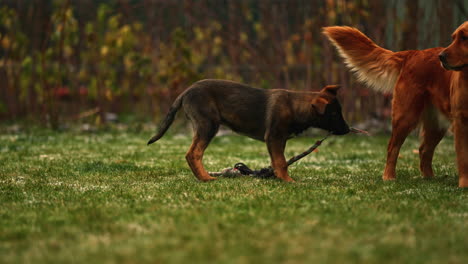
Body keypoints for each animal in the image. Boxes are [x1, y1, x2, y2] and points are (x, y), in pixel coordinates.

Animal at [148, 78, 350, 182]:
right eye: (334, 114)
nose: (348, 130)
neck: (295, 106)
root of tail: (186, 91)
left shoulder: (279, 140)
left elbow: (277, 162)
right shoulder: (274, 137)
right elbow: (281, 162)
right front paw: (288, 181)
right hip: (208, 125)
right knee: (193, 154)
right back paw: (206, 178)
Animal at [324, 22, 468, 188]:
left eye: (464, 38)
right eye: (454, 38)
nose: (441, 57)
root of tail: (413, 53)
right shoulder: (461, 123)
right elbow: (463, 158)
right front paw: (464, 185)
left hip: (436, 124)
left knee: (424, 149)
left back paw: (429, 179)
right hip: (405, 117)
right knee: (393, 147)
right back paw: (389, 177)